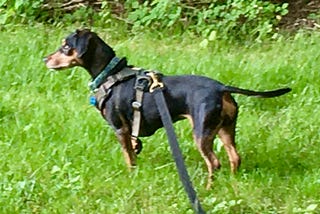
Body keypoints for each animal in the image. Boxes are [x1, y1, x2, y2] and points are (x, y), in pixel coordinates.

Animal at [43, 29, 292, 188]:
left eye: (65, 47)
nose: (45, 59)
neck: (110, 74)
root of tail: (221, 87)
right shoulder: (130, 131)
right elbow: (134, 154)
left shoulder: (119, 129)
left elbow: (128, 158)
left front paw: (131, 178)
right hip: (225, 129)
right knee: (235, 157)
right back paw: (232, 182)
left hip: (201, 132)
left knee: (214, 162)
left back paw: (209, 189)